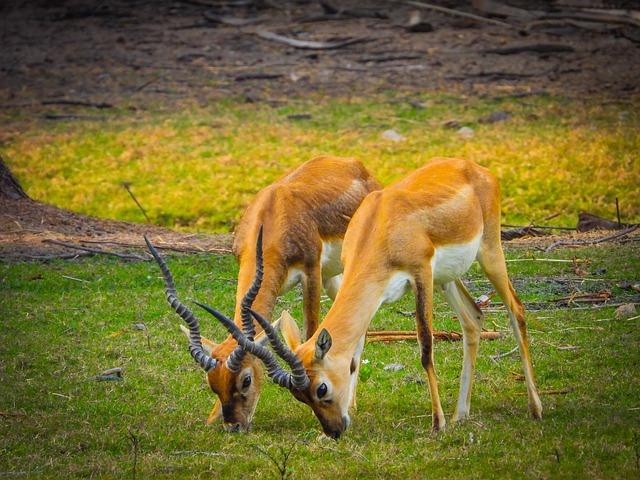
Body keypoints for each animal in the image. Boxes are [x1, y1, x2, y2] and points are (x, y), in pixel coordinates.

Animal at [145, 156, 380, 434]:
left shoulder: (311, 273)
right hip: (333, 278)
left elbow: (312, 331)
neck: (274, 216)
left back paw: (351, 404)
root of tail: (352, 163)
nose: (234, 425)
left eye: (245, 380)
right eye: (213, 384)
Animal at [202, 158, 544, 438]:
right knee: (473, 318)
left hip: (488, 253)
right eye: (301, 396)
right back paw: (462, 415)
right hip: (446, 277)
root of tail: (474, 168)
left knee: (517, 310)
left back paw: (535, 409)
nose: (334, 431)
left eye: (321, 388)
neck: (380, 227)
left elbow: (425, 347)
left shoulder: (419, 274)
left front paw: (437, 424)